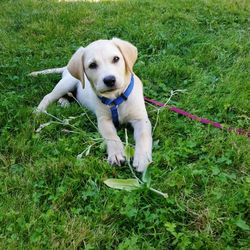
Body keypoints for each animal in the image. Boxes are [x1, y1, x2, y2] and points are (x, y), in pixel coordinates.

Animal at [32, 38, 151, 173]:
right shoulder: (103, 120)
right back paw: (39, 111)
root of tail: (66, 68)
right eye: (92, 65)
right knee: (49, 96)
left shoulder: (141, 119)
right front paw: (116, 154)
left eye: (116, 59)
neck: (115, 99)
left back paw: (64, 101)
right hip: (67, 82)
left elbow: (143, 135)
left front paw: (142, 159)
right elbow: (111, 136)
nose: (109, 80)